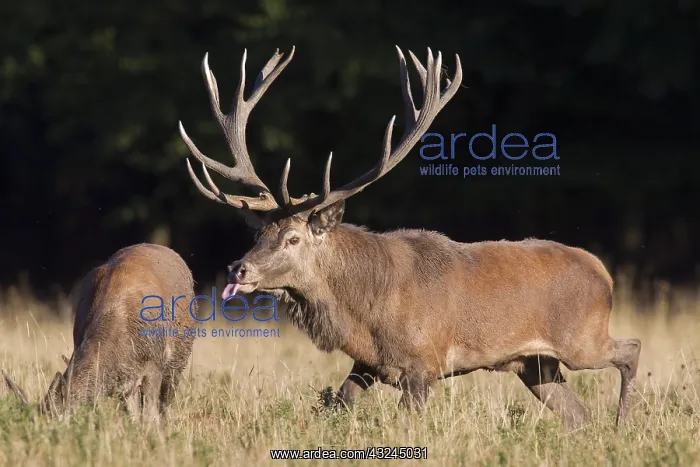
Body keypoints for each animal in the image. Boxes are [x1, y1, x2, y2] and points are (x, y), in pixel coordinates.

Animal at [2, 243, 197, 421]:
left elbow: (150, 415)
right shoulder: (124, 382)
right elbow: (134, 418)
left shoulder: (154, 364)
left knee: (165, 401)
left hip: (178, 361)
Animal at [176, 45, 641, 430]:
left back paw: (624, 425)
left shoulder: (424, 364)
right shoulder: (365, 364)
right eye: (259, 232)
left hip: (580, 338)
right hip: (534, 364)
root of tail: (603, 272)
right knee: (578, 415)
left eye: (292, 238)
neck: (366, 312)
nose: (239, 268)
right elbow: (335, 406)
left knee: (630, 349)